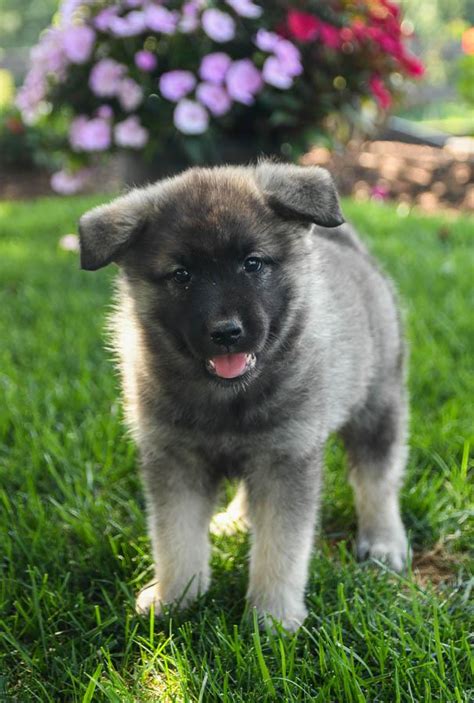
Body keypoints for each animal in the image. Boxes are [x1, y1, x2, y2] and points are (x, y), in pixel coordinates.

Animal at [79, 164, 410, 632]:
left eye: (253, 264)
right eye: (181, 275)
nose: (226, 332)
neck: (227, 400)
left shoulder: (284, 458)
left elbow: (281, 547)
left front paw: (272, 617)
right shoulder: (176, 459)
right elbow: (175, 536)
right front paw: (175, 597)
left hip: (377, 406)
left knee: (377, 480)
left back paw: (383, 540)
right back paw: (236, 521)